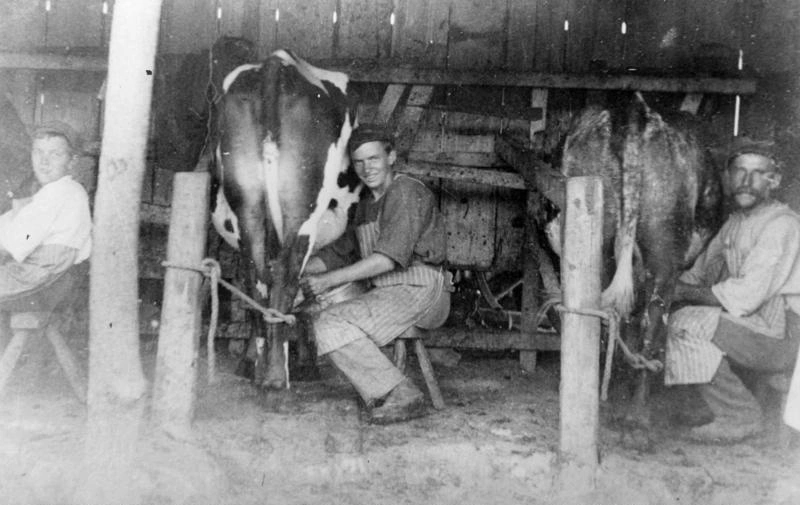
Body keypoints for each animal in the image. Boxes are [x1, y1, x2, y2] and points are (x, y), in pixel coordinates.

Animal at [212, 50, 362, 390]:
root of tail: (277, 63)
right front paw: (308, 363)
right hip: (302, 207)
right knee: (286, 274)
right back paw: (277, 378)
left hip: (247, 203)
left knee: (256, 276)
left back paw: (259, 368)